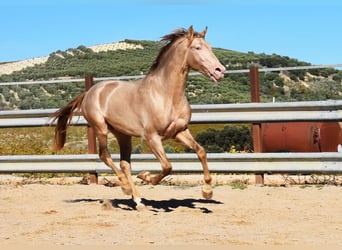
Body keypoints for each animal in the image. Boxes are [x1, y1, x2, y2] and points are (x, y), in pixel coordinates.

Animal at [51, 25, 224, 209]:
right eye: (197, 48)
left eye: (210, 47)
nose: (220, 71)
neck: (166, 94)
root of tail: (90, 91)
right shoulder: (151, 137)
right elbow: (167, 166)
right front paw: (145, 176)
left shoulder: (180, 132)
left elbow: (201, 151)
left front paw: (207, 191)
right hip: (101, 128)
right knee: (105, 156)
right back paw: (126, 188)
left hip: (123, 135)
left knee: (125, 164)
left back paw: (138, 200)